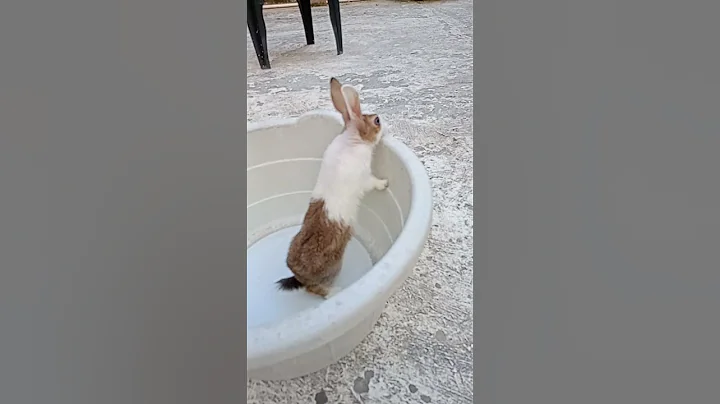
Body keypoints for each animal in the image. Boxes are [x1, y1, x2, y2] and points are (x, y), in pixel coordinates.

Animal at [275, 77, 389, 299]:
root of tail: (298, 275)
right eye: (377, 121)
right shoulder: (364, 177)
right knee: (316, 290)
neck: (354, 139)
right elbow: (373, 182)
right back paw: (335, 291)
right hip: (333, 269)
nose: (386, 122)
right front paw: (385, 183)